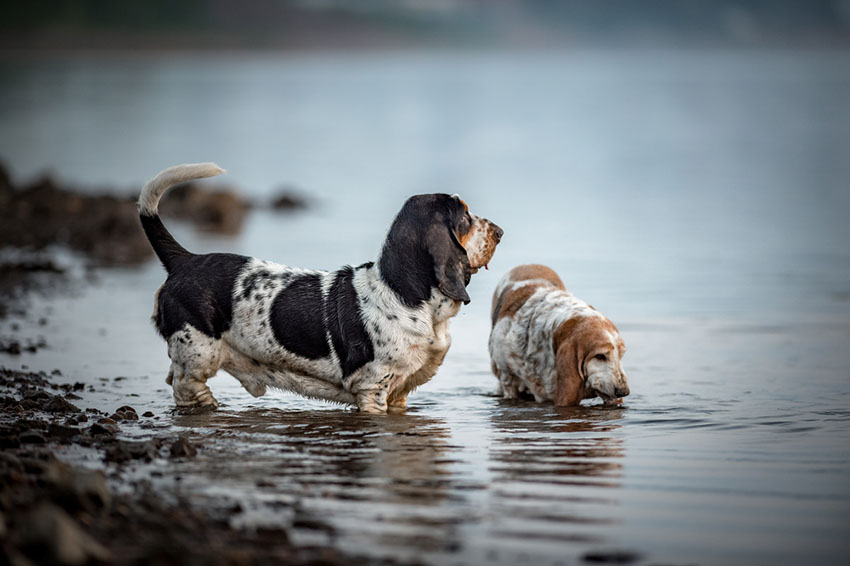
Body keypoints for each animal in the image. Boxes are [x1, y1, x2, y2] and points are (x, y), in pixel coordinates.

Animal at [136, 162, 500, 414]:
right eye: (465, 218)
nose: (499, 231)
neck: (404, 293)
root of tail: (185, 260)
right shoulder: (373, 390)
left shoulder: (400, 393)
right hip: (198, 354)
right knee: (187, 387)